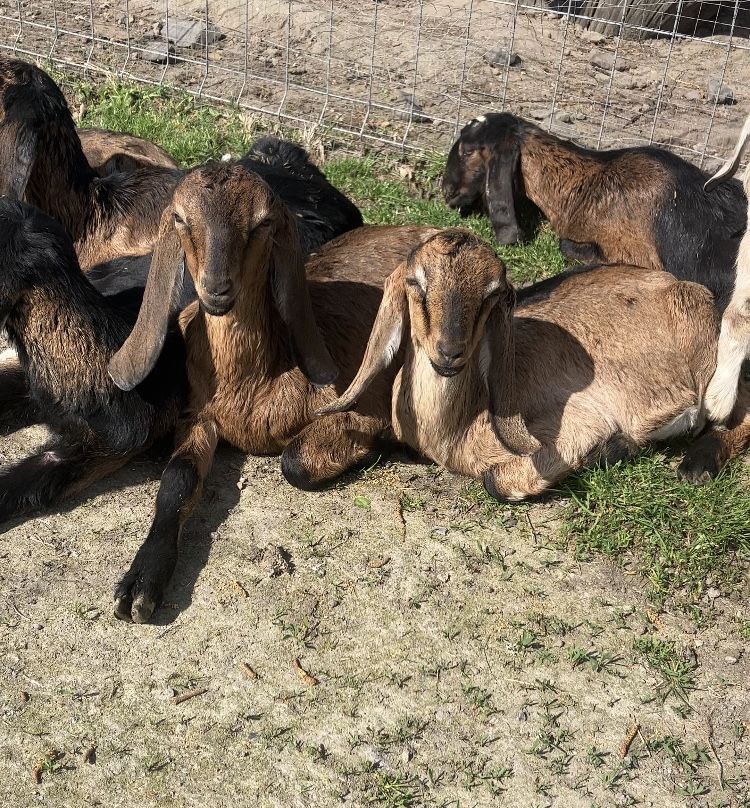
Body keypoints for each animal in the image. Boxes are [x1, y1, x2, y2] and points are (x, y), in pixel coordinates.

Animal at [107, 159, 434, 624]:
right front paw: (140, 583)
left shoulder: (356, 406)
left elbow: (295, 463)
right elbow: (176, 480)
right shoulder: (199, 417)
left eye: (262, 223)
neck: (254, 381)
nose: (217, 288)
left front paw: (378, 444)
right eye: (181, 218)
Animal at [324, 230, 724, 502]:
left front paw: (607, 449)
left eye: (489, 295)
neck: (457, 426)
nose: (450, 352)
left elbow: (496, 482)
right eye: (416, 283)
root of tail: (675, 282)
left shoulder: (574, 427)